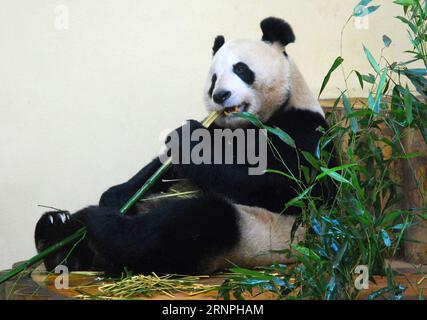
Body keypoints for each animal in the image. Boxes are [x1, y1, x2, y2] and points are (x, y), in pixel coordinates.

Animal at [34, 17, 338, 276]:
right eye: (213, 78)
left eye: (241, 69)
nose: (220, 95)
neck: (248, 124)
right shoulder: (216, 128)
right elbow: (160, 168)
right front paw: (115, 194)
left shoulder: (302, 130)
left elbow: (291, 185)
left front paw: (190, 143)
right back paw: (56, 235)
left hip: (254, 232)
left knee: (187, 225)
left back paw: (98, 224)